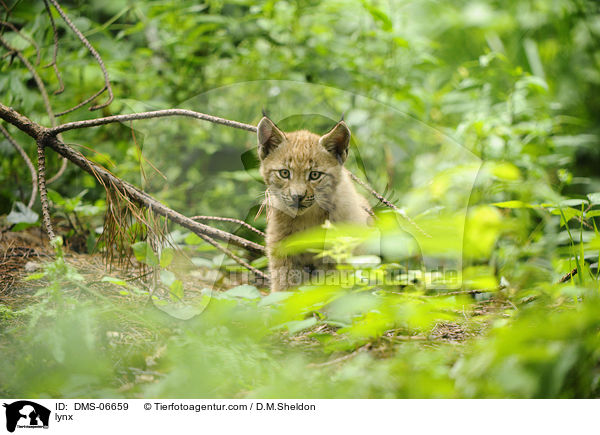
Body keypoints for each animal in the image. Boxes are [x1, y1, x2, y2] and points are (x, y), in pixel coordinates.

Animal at [256, 116, 370, 292]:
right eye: (284, 173)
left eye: (315, 175)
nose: (297, 197)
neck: (307, 217)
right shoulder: (282, 251)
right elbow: (284, 288)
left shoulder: (335, 253)